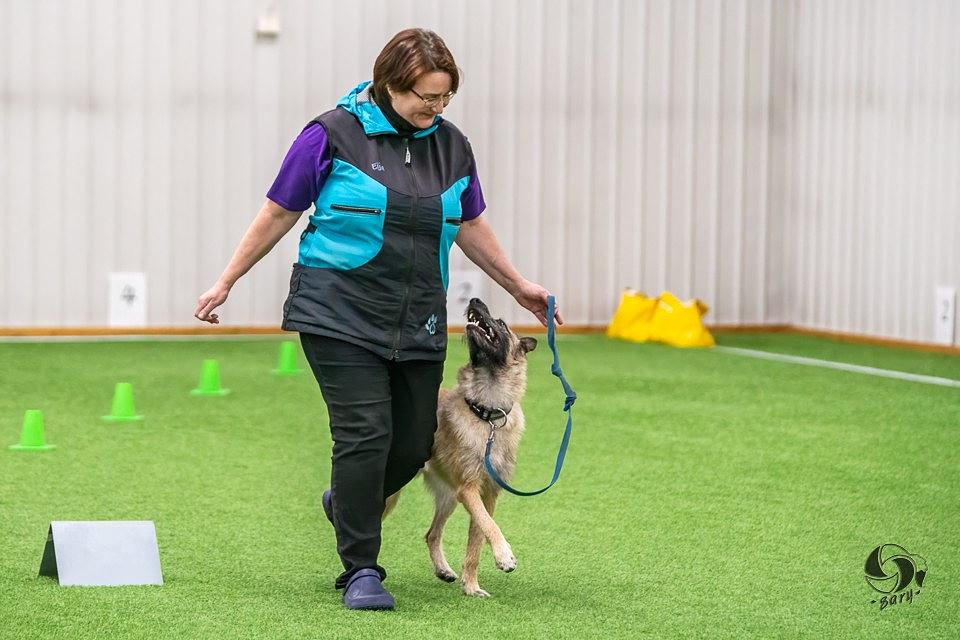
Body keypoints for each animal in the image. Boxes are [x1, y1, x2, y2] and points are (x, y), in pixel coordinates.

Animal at [380, 298, 532, 596]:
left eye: (502, 323)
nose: (475, 300)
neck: (486, 415)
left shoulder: (486, 493)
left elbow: (476, 541)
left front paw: (471, 586)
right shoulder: (469, 489)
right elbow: (490, 525)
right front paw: (504, 556)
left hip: (449, 496)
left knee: (432, 534)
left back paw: (444, 570)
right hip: (396, 493)